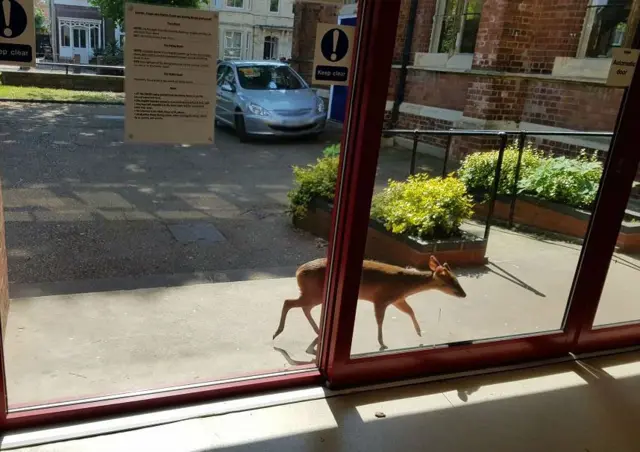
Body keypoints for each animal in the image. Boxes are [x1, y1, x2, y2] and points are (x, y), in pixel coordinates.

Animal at [272, 256, 468, 352]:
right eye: (449, 282)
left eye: (457, 280)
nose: (464, 294)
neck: (405, 285)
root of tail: (298, 271)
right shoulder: (381, 298)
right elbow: (380, 320)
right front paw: (382, 342)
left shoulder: (397, 299)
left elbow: (410, 311)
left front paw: (419, 332)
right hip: (315, 292)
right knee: (289, 302)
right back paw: (277, 332)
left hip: (314, 293)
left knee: (303, 307)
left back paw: (317, 331)